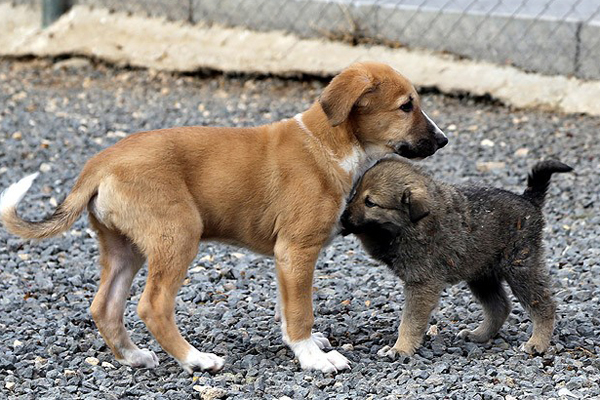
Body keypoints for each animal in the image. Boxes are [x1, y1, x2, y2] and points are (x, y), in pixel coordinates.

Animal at [0, 61, 446, 374]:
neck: (329, 142)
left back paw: (133, 356)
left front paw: (298, 345)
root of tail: (99, 164)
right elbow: (300, 310)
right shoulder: (297, 249)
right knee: (152, 305)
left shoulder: (287, 258)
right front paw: (313, 359)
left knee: (104, 306)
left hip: (125, 247)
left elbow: (287, 306)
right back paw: (196, 360)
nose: (443, 140)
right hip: (178, 233)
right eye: (406, 106)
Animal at [342, 158, 572, 358]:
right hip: (482, 274)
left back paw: (538, 342)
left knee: (543, 305)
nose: (343, 217)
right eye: (355, 193)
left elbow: (410, 321)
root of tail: (528, 200)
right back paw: (480, 335)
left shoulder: (421, 284)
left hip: (521, 266)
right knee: (500, 307)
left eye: (370, 202)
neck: (412, 222)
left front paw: (401, 348)